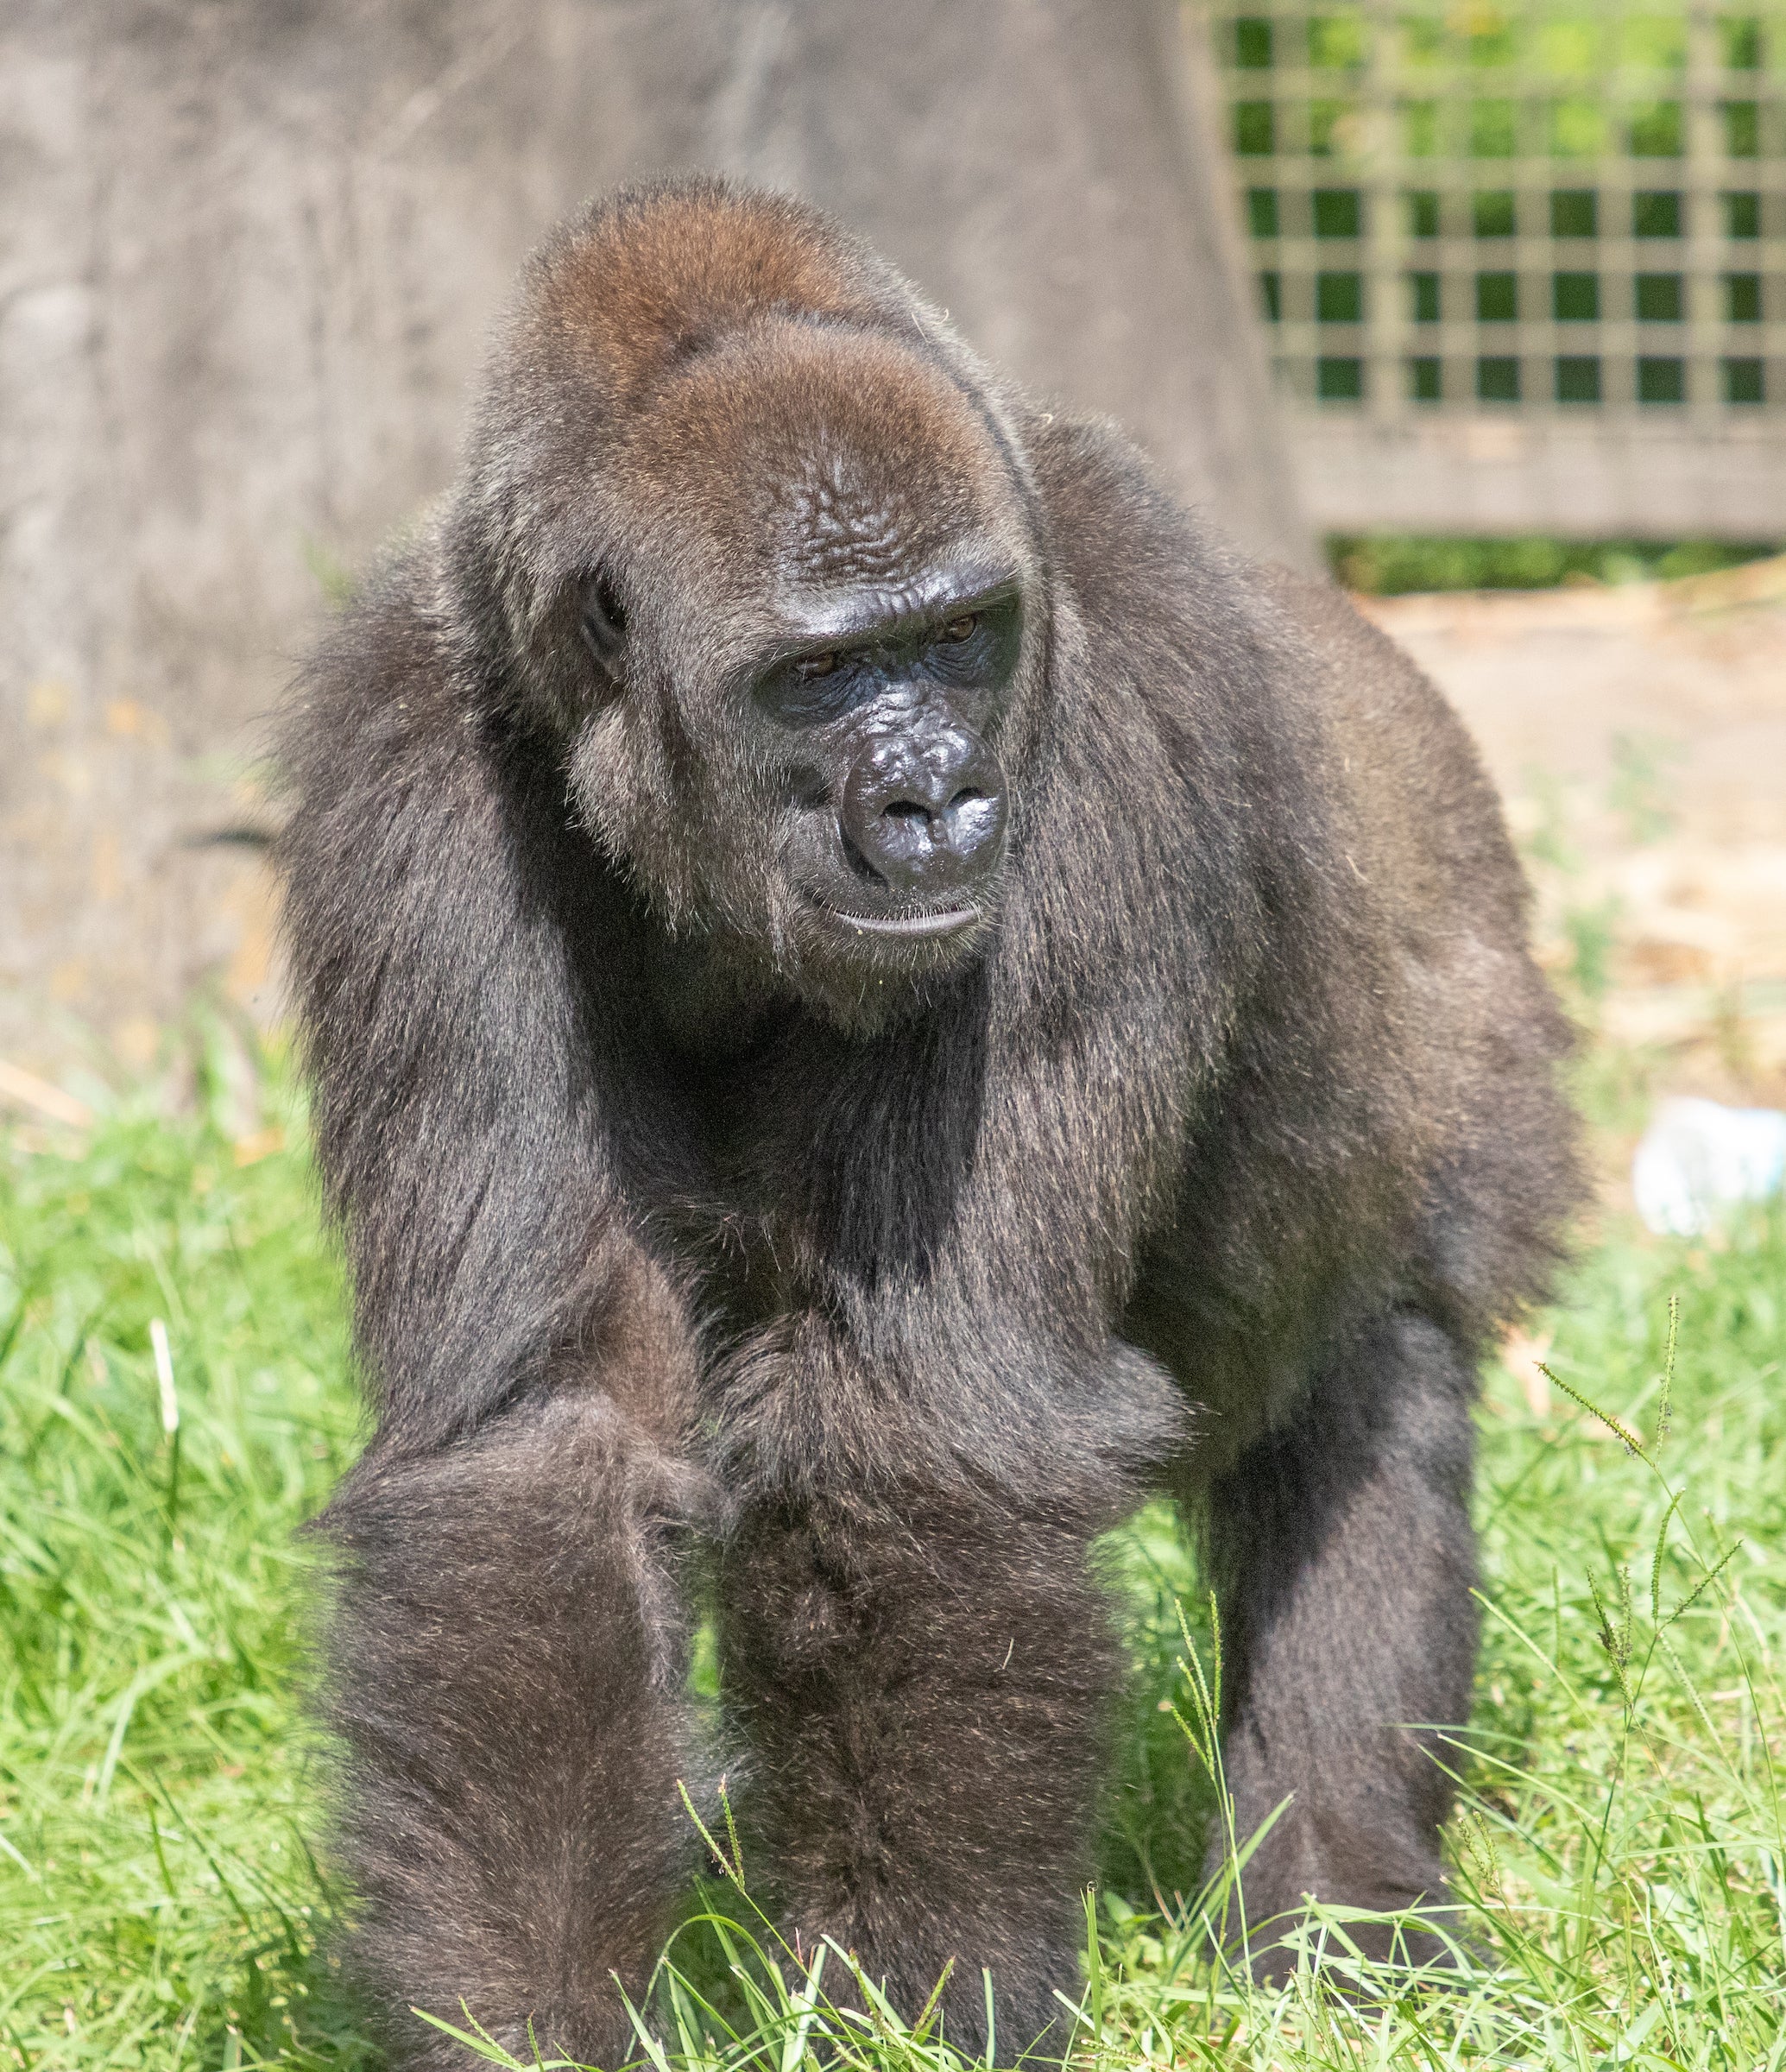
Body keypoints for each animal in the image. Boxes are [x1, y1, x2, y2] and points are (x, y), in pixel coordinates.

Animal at [280, 182, 1582, 2072]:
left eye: (957, 637)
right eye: (821, 675)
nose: (936, 799)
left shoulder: (1115, 704)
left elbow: (916, 1428)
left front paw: (914, 2005)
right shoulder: (404, 754)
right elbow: (550, 1442)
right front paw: (528, 2022)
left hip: (1470, 1034)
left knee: (1368, 1397)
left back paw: (1342, 1906)